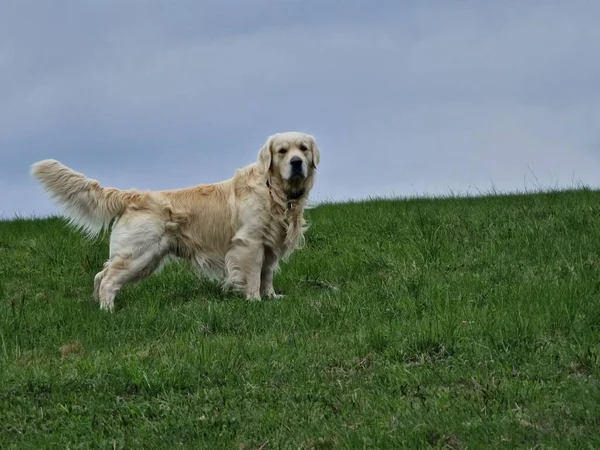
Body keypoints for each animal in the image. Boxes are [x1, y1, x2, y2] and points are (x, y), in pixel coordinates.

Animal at [30, 132, 322, 312]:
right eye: (282, 151)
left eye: (303, 149)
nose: (297, 162)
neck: (274, 191)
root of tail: (132, 195)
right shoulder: (249, 243)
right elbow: (252, 276)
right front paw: (254, 301)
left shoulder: (270, 245)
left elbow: (267, 274)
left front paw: (271, 297)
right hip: (140, 253)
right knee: (108, 280)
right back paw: (109, 310)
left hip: (145, 258)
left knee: (100, 275)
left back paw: (100, 306)